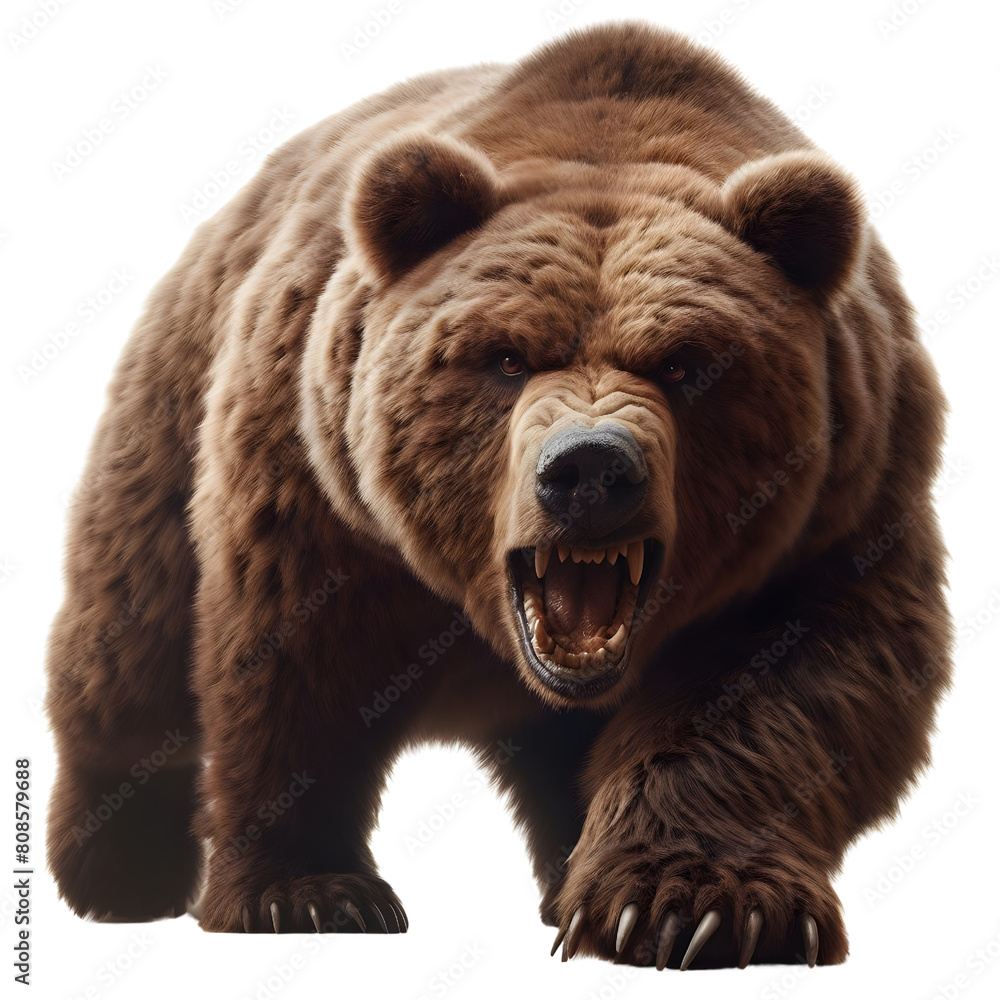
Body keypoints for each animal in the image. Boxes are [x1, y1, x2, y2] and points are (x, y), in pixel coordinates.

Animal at [45, 21, 951, 969]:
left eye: (686, 363)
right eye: (507, 356)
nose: (589, 469)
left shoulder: (840, 504)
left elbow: (789, 683)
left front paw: (693, 906)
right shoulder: (322, 495)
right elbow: (293, 663)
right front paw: (310, 891)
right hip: (170, 415)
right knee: (127, 645)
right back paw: (118, 869)